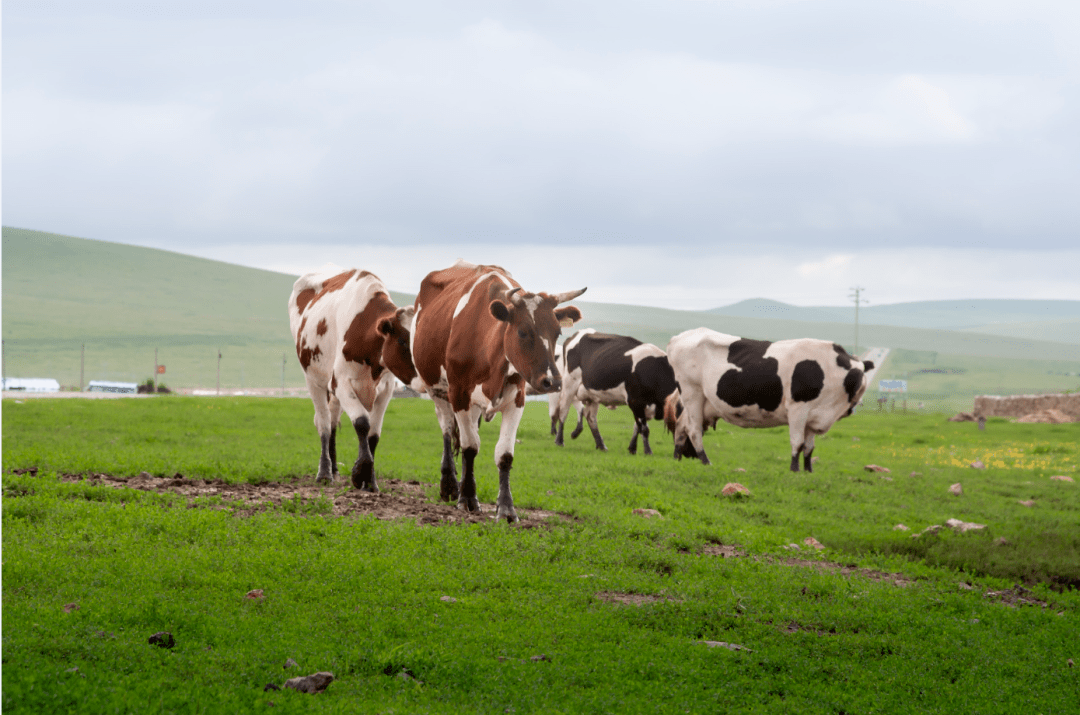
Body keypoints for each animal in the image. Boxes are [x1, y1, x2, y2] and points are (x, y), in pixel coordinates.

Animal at [287, 263, 416, 492]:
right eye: (402, 340)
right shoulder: (341, 384)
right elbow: (362, 423)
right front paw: (359, 473)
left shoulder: (386, 390)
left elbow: (373, 434)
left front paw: (370, 481)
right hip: (314, 380)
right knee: (323, 423)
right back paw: (325, 472)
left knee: (332, 421)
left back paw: (334, 469)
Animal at [408, 260, 587, 524]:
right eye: (523, 332)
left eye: (558, 333)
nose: (552, 381)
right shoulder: (458, 394)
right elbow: (470, 447)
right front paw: (467, 498)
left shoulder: (517, 400)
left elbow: (504, 455)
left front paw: (505, 508)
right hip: (436, 390)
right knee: (447, 430)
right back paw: (450, 485)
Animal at [660, 328, 872, 473]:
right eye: (856, 376)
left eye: (863, 374)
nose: (859, 393)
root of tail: (679, 337)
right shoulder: (798, 409)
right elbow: (797, 443)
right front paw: (794, 470)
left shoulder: (814, 417)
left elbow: (809, 448)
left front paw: (808, 471)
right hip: (692, 393)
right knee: (694, 430)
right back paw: (706, 461)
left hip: (700, 403)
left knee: (681, 426)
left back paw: (677, 457)